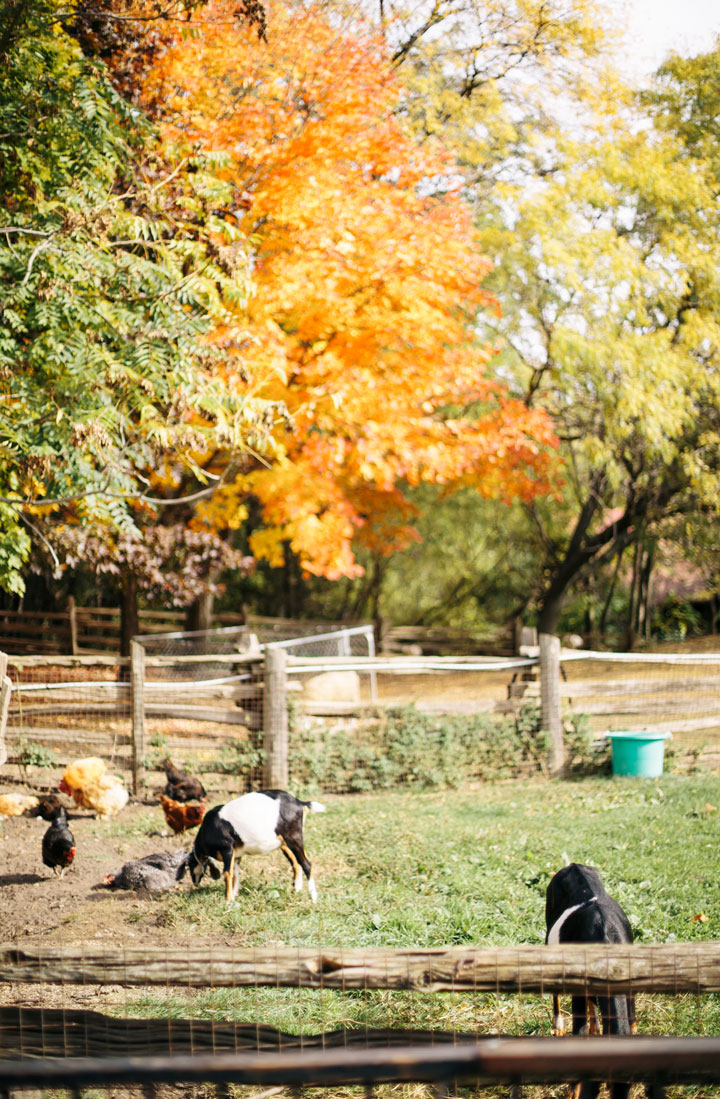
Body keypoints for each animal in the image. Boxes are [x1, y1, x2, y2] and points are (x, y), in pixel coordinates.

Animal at [176, 791, 327, 901]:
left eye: (189, 864)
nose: (195, 882)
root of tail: (299, 802)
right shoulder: (236, 854)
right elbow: (235, 874)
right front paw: (233, 896)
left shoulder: (227, 848)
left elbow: (227, 873)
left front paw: (227, 901)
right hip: (283, 842)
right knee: (296, 863)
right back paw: (297, 889)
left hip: (294, 837)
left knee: (306, 863)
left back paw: (314, 897)